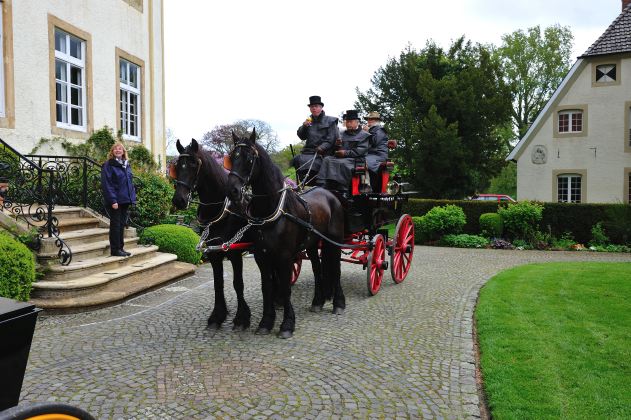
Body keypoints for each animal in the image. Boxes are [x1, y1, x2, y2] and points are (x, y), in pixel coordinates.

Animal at [171, 138, 251, 330]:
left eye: (194, 163)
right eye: (177, 165)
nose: (179, 200)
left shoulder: (235, 252)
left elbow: (238, 283)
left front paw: (242, 318)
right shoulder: (214, 253)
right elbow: (218, 283)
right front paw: (217, 316)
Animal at [225, 129, 346, 339]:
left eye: (249, 159)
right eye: (232, 157)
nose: (232, 190)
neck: (271, 209)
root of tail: (330, 193)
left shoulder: (285, 256)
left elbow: (285, 287)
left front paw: (287, 324)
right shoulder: (262, 256)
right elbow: (267, 287)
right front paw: (266, 322)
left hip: (334, 241)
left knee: (336, 269)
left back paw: (338, 303)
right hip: (312, 244)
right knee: (317, 269)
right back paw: (317, 302)